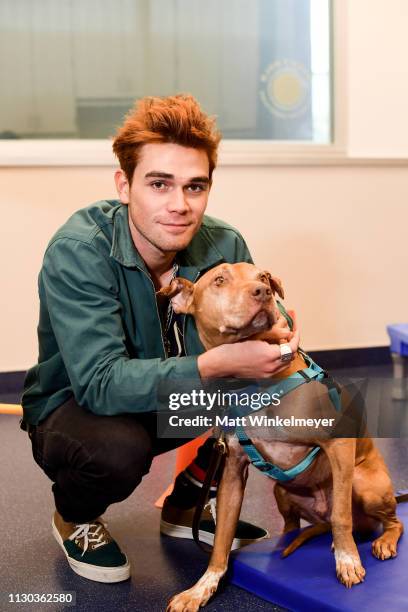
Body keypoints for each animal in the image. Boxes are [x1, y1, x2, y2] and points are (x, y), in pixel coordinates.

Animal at [159, 260, 402, 608]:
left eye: (262, 277)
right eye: (219, 280)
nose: (262, 292)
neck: (252, 385)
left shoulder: (339, 444)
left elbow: (342, 517)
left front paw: (347, 561)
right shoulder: (232, 472)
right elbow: (221, 541)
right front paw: (201, 588)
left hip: (363, 482)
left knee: (385, 521)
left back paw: (381, 542)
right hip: (281, 493)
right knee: (296, 524)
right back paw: (286, 540)